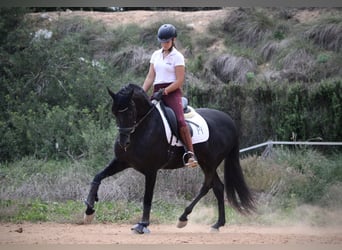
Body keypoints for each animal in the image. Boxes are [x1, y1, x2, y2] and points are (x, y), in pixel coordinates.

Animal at [83, 83, 254, 233]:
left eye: (130, 112)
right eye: (115, 113)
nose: (123, 142)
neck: (143, 128)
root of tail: (229, 121)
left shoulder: (151, 170)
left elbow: (147, 197)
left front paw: (143, 224)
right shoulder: (122, 162)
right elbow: (98, 176)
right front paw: (89, 209)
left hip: (210, 163)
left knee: (207, 186)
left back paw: (183, 218)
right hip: (206, 163)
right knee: (217, 187)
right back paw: (217, 224)